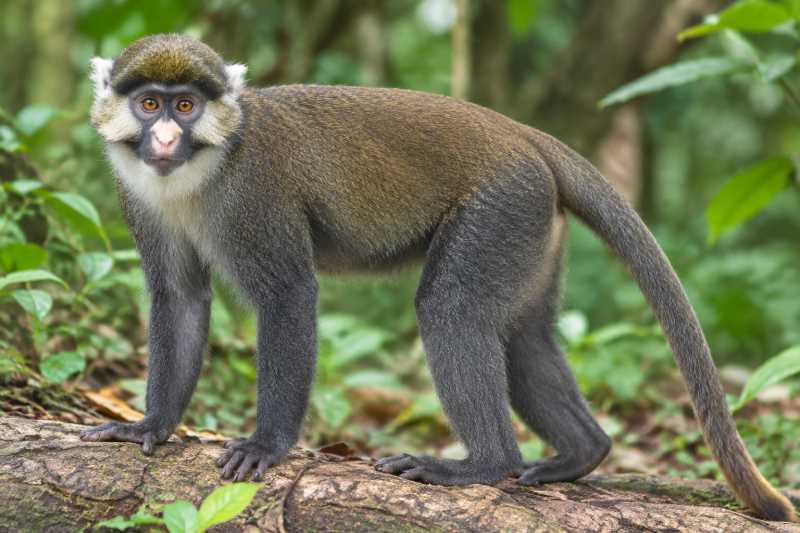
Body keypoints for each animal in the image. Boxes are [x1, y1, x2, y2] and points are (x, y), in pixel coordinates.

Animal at [79, 34, 796, 522]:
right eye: (149, 104)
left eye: (185, 106)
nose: (164, 138)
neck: (203, 169)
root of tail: (524, 136)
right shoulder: (139, 198)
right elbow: (180, 298)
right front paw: (150, 424)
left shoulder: (256, 194)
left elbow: (288, 296)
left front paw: (266, 445)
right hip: (531, 225)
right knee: (524, 334)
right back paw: (580, 452)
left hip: (501, 207)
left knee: (450, 308)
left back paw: (484, 465)